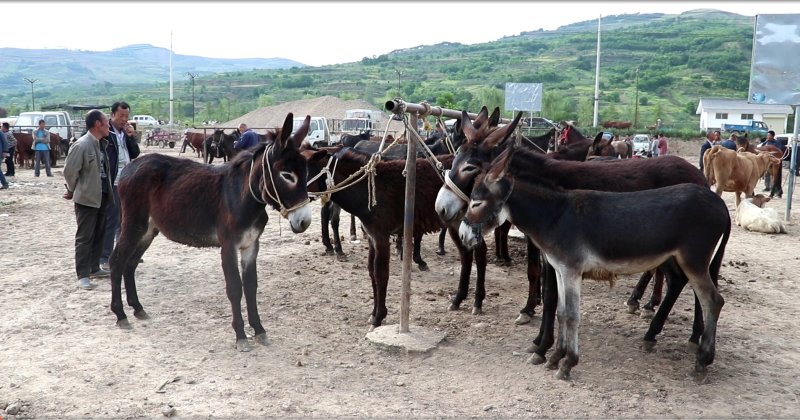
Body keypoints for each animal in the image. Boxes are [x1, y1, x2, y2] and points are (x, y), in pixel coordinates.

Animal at [108, 113, 313, 352]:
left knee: (130, 264)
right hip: (134, 224)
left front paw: (259, 329)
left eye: (306, 173)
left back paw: (138, 309)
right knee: (117, 262)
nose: (304, 222)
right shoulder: (228, 245)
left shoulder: (251, 244)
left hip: (149, 230)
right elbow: (234, 287)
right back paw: (121, 315)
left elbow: (251, 286)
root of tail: (131, 166)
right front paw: (241, 335)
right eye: (287, 175)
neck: (243, 197)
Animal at [436, 110, 713, 359]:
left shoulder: (557, 251)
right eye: (454, 158)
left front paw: (542, 343)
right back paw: (659, 329)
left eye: (470, 167)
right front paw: (533, 321)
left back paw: (691, 335)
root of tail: (699, 174)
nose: (441, 208)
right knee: (679, 281)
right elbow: (539, 280)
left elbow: (550, 294)